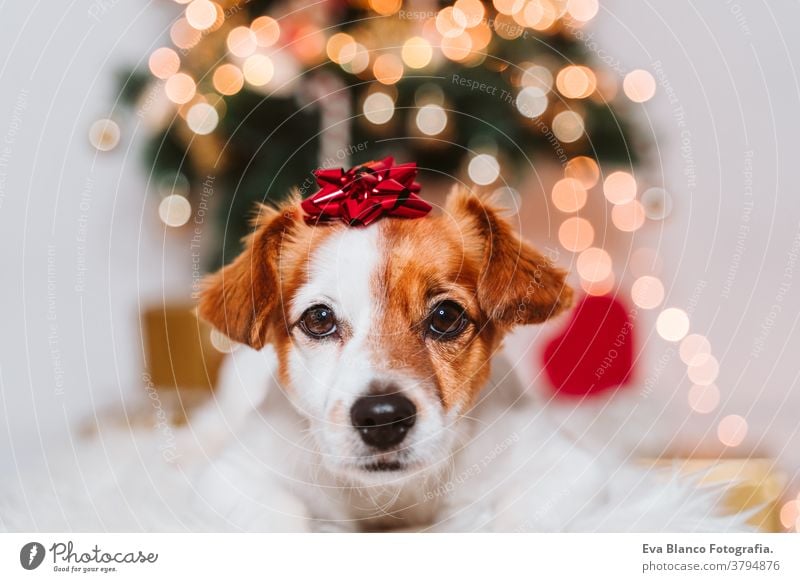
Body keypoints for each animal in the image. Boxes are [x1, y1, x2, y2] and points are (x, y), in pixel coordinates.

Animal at [191, 187, 748, 532]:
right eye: (320, 319)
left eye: (445, 316)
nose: (382, 418)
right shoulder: (230, 477)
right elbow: (282, 517)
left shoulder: (570, 469)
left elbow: (517, 520)